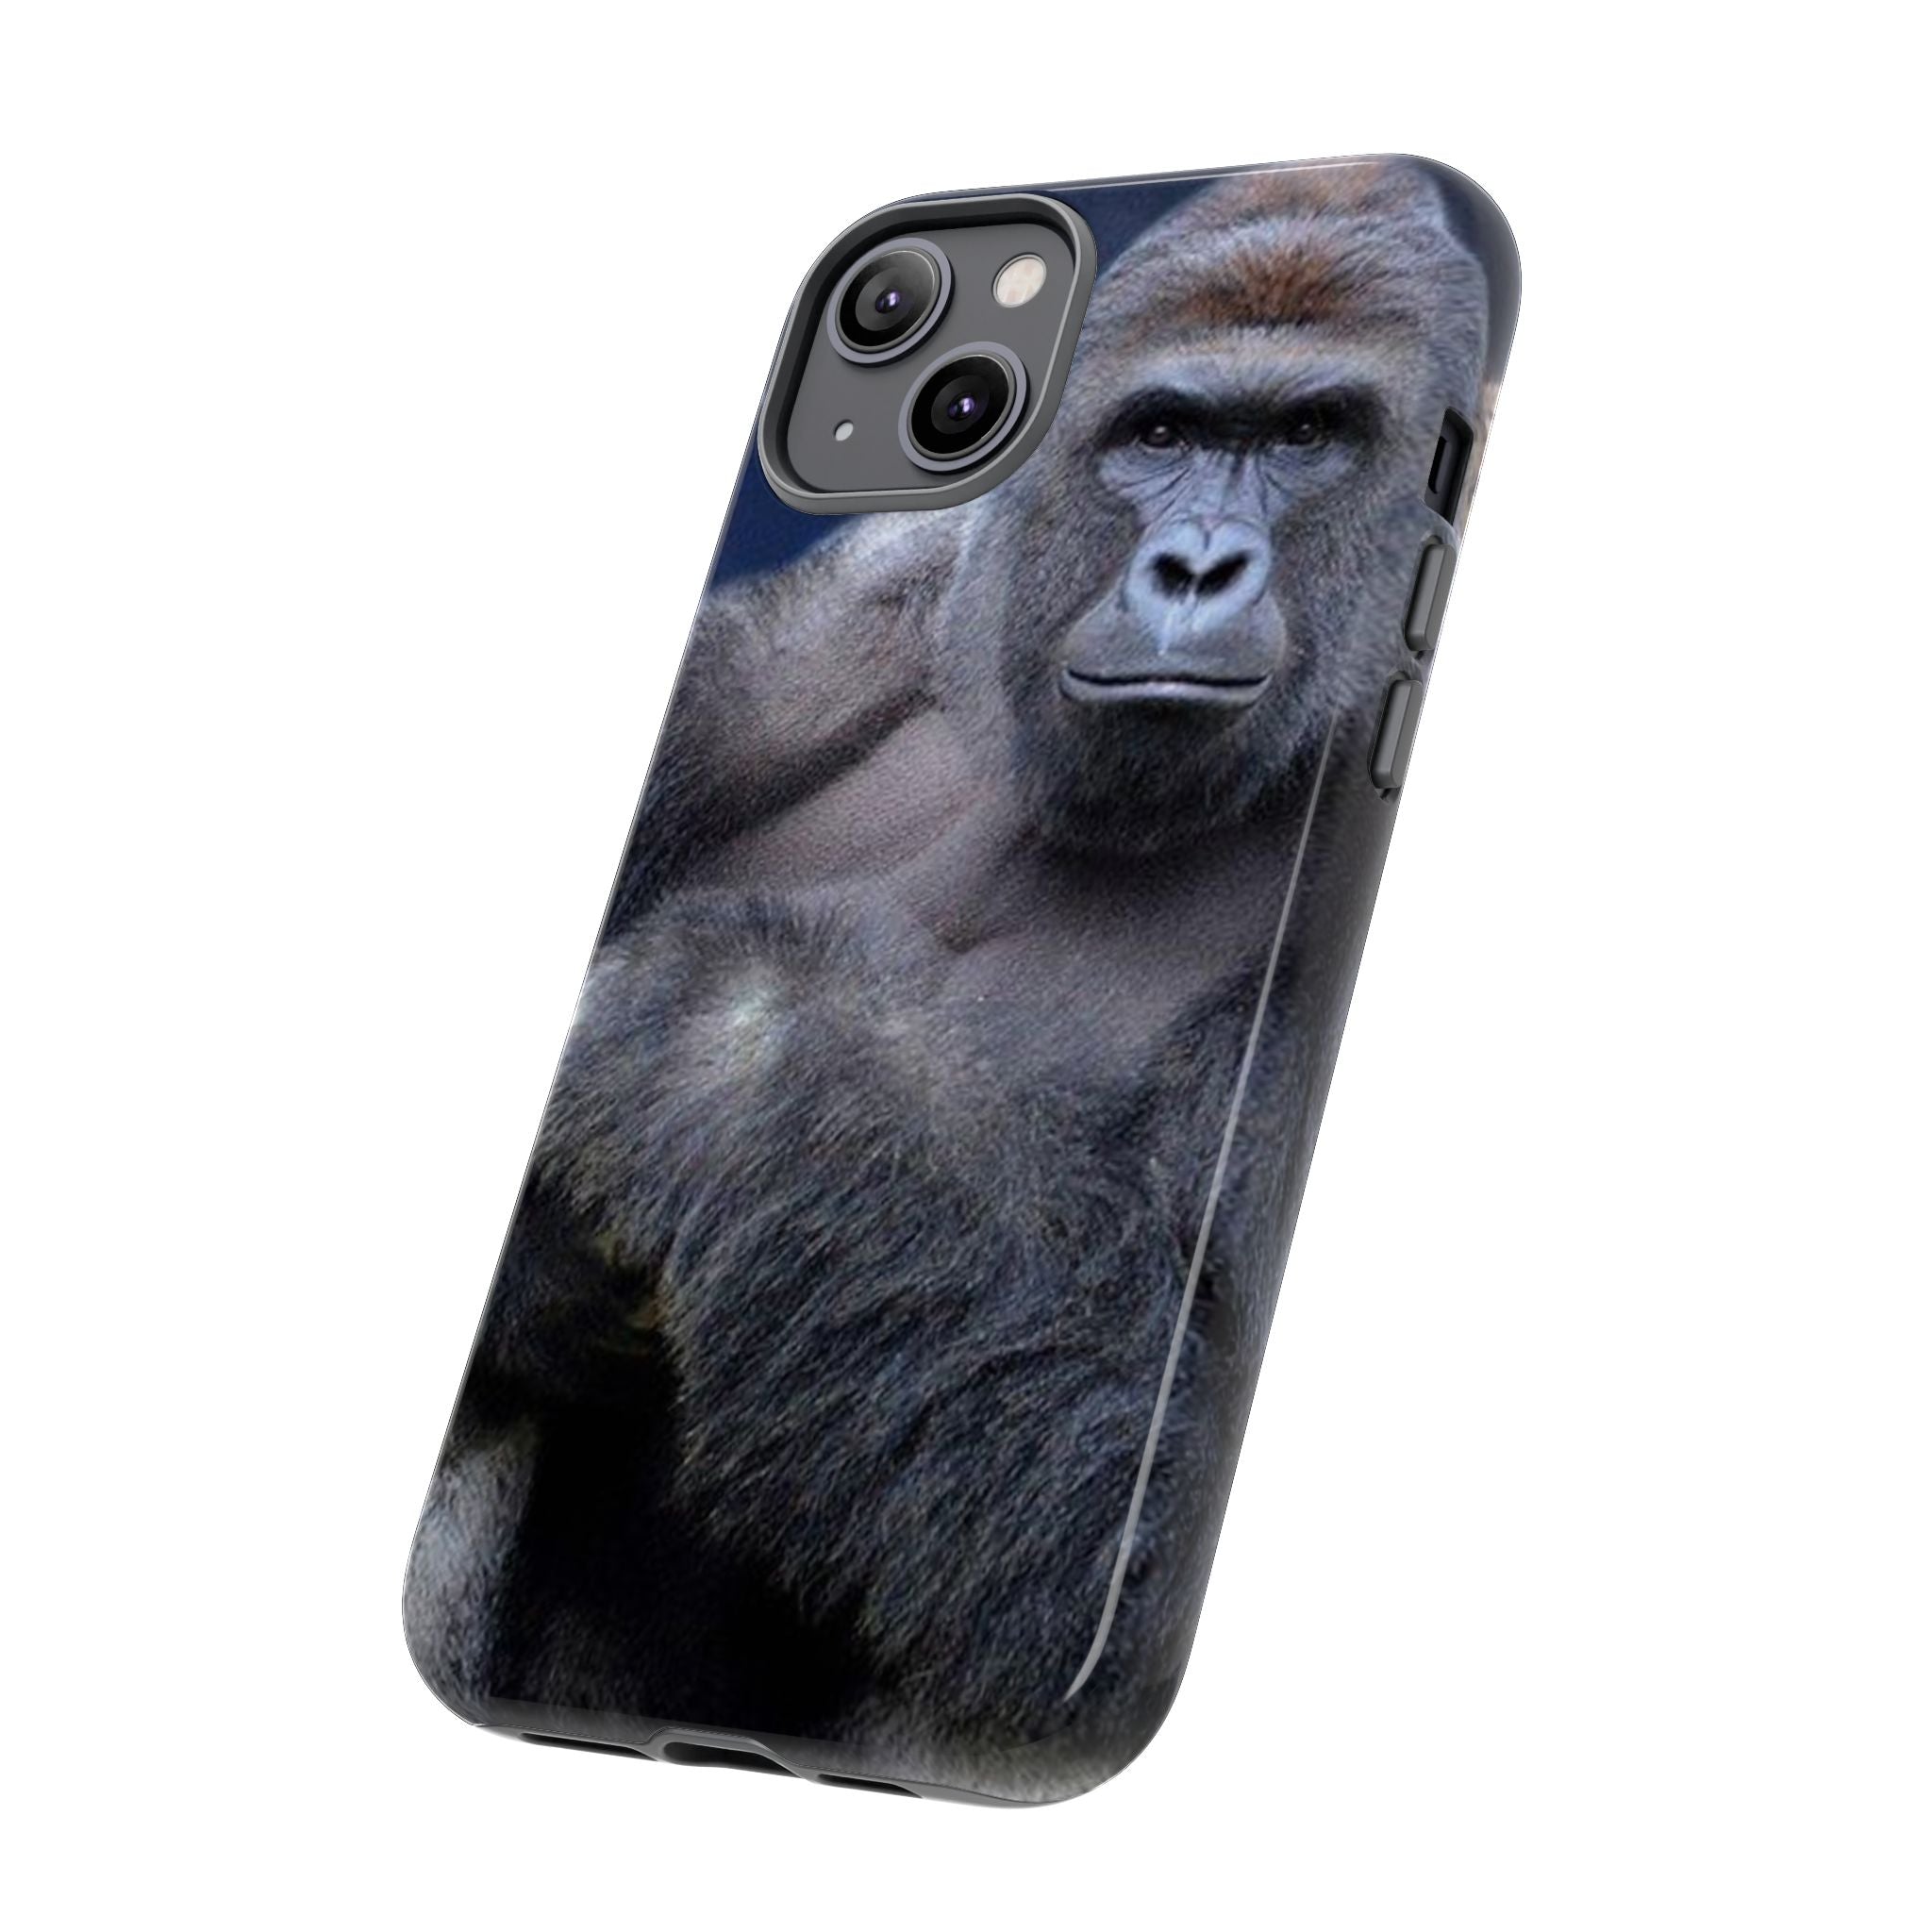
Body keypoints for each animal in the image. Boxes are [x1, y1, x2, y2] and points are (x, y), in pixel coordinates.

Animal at [406, 160, 1493, 1798]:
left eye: (1310, 436)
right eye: (1162, 435)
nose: (1194, 569)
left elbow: (1124, 1516)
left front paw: (727, 1045)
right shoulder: (842, 622)